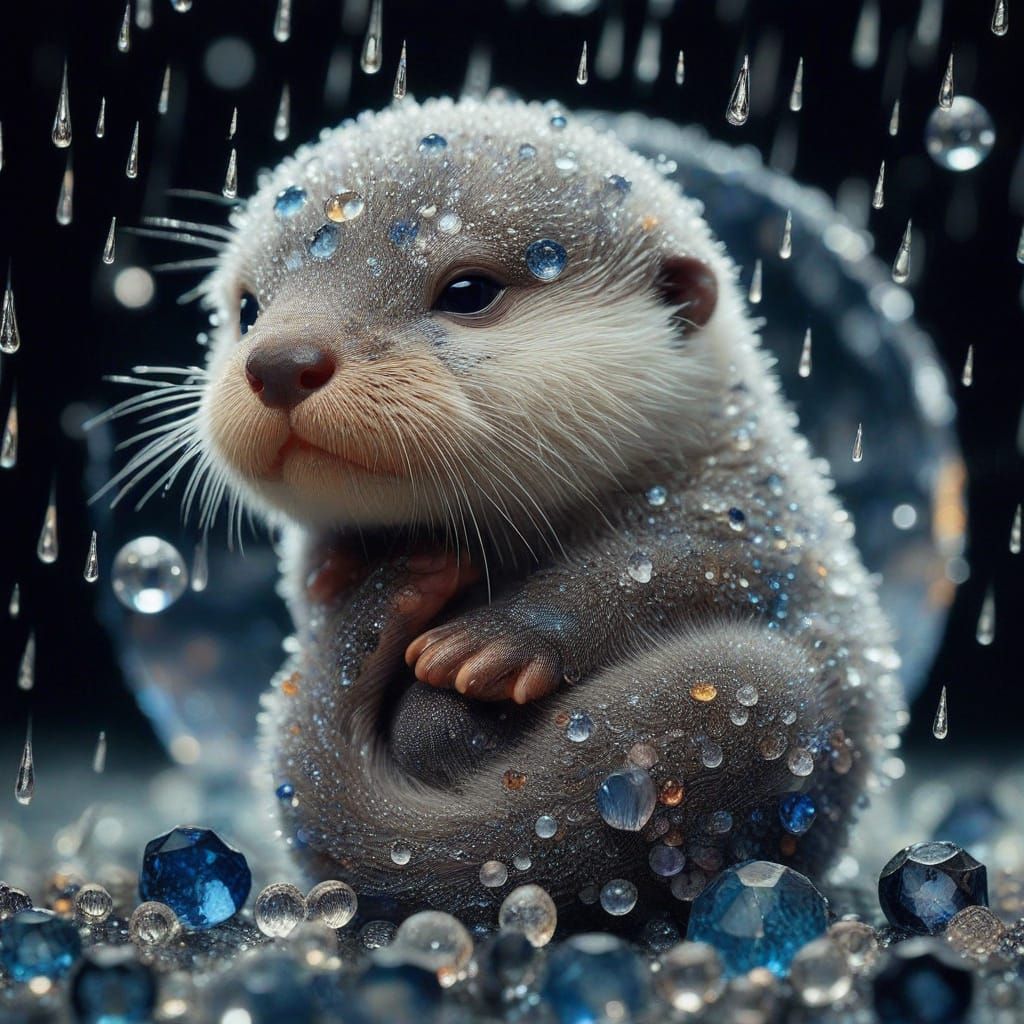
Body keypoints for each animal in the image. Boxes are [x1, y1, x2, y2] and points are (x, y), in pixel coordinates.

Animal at [190, 96, 904, 923]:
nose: (280, 361)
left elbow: (674, 562)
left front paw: (490, 647)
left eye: (467, 290)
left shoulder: (765, 521)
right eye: (247, 308)